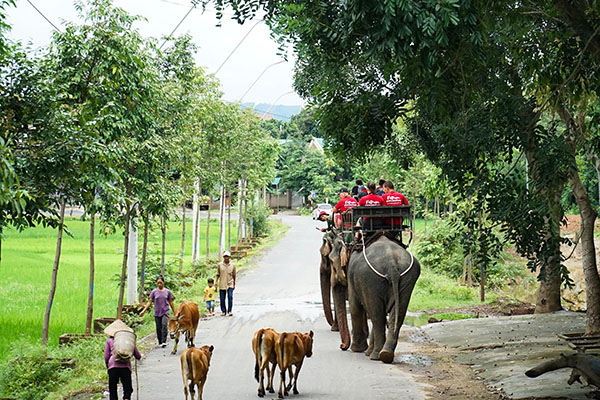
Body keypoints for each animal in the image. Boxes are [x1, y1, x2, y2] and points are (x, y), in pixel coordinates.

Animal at [326, 231, 420, 362]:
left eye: (331, 262)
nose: (342, 346)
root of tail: (392, 265)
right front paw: (366, 350)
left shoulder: (352, 276)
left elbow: (355, 306)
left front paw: (357, 349)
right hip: (407, 279)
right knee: (398, 314)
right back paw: (385, 354)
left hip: (370, 279)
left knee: (377, 315)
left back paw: (375, 355)